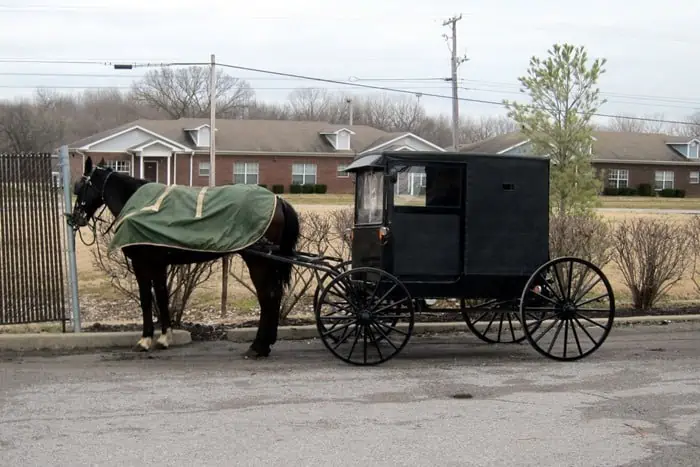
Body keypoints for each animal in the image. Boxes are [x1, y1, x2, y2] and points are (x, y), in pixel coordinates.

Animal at [69, 157, 300, 358]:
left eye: (79, 187)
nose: (75, 218)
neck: (138, 206)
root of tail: (278, 200)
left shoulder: (141, 264)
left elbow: (146, 299)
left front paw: (145, 340)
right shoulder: (158, 265)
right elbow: (162, 297)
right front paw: (164, 337)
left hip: (259, 262)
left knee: (267, 297)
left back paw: (258, 346)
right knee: (273, 296)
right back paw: (265, 344)